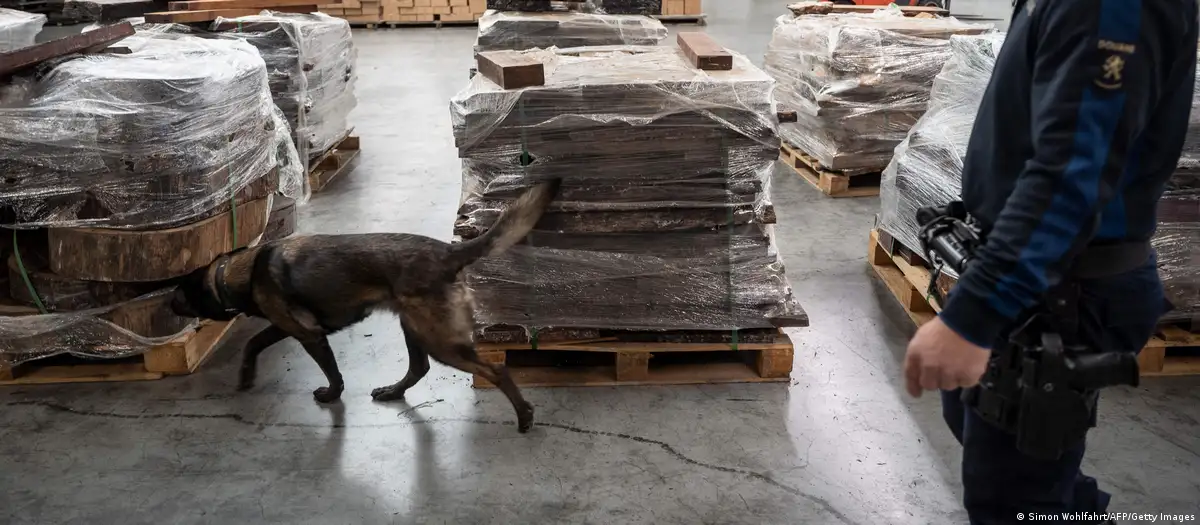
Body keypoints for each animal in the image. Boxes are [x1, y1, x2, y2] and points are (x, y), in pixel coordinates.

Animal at [170, 179, 561, 431]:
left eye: (181, 293)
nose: (168, 304)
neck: (243, 271)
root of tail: (448, 253)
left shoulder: (309, 334)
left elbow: (332, 372)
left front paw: (331, 395)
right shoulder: (283, 326)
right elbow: (252, 342)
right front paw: (246, 375)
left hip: (440, 341)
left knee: (496, 371)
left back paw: (524, 416)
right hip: (413, 326)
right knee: (419, 368)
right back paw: (393, 391)